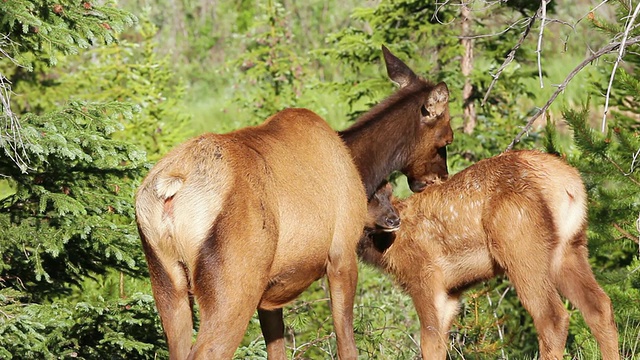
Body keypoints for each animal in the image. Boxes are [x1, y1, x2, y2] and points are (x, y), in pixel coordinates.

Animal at [134, 45, 450, 360]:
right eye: (446, 138)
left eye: (389, 191)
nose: (441, 177)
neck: (360, 168)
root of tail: (171, 186)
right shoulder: (342, 252)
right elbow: (346, 343)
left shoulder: (270, 293)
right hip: (233, 284)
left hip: (166, 281)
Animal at [358, 150, 616, 360]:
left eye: (387, 193)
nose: (393, 220)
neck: (386, 251)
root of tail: (570, 185)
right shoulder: (451, 292)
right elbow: (440, 345)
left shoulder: (424, 276)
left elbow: (428, 344)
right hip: (570, 248)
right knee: (599, 306)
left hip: (520, 246)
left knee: (552, 318)